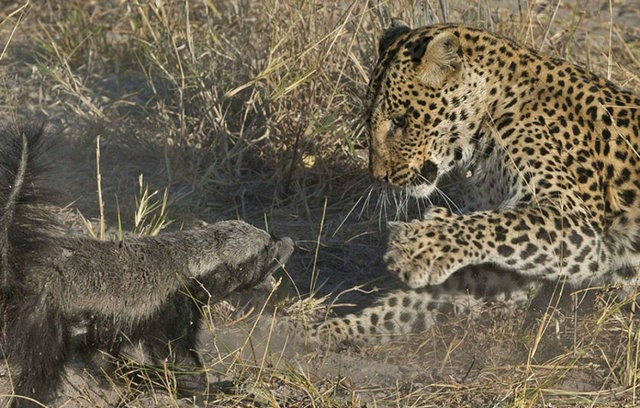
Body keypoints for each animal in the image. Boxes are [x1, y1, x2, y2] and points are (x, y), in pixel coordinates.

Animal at [304, 22, 640, 346]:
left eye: (400, 121)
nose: (378, 176)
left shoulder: (574, 221)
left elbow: (494, 223)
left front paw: (417, 244)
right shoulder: (498, 273)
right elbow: (402, 306)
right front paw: (325, 332)